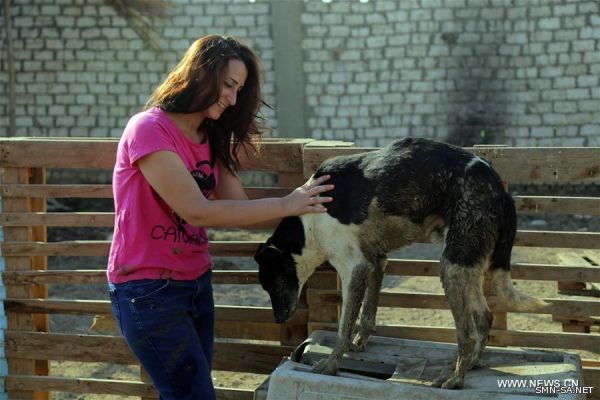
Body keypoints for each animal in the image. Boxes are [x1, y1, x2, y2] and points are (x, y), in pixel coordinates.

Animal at [255, 139, 548, 390]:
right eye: (266, 287)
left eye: (274, 283)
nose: (279, 319)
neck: (307, 223)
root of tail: (500, 188)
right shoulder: (376, 261)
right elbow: (367, 313)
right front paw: (358, 343)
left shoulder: (354, 269)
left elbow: (343, 326)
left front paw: (331, 365)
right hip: (466, 266)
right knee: (485, 317)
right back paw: (473, 363)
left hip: (450, 267)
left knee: (467, 335)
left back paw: (455, 379)